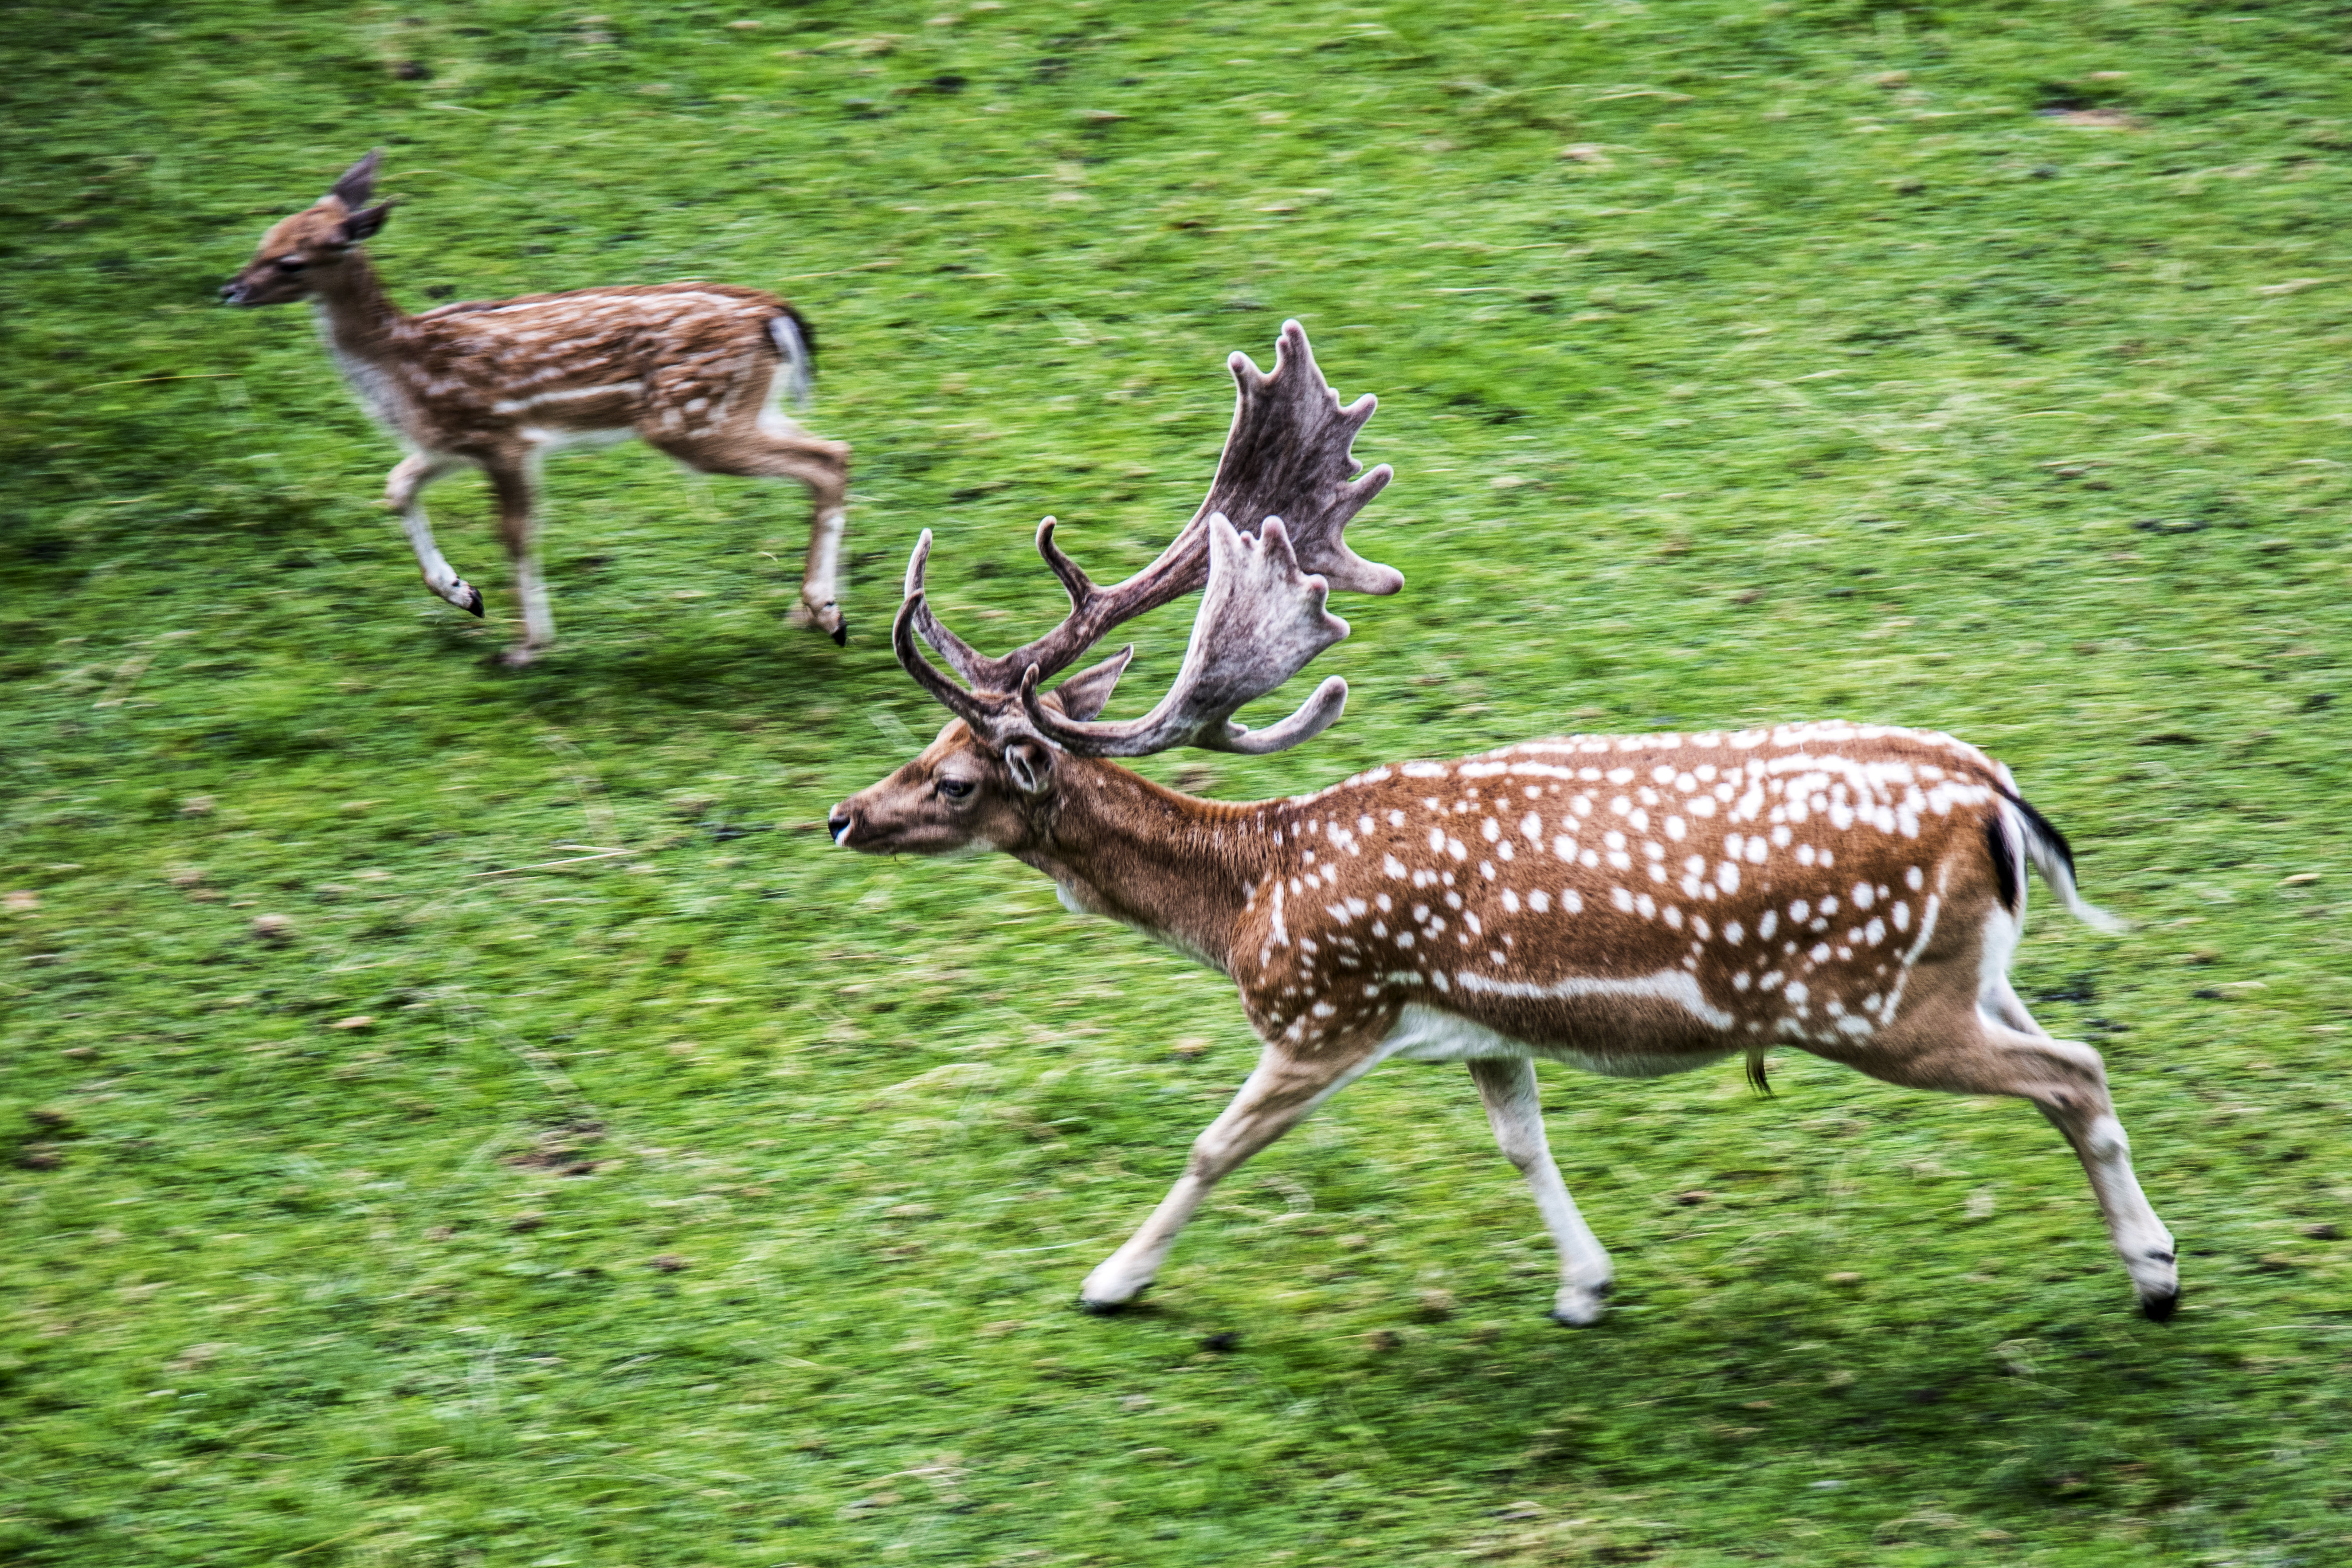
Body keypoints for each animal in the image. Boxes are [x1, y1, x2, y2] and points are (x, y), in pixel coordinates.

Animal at [221, 160, 856, 667]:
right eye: (264, 238)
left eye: (293, 261)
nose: (229, 290)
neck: (403, 366)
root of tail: (774, 314)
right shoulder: (450, 441)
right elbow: (397, 487)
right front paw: (465, 594)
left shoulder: (505, 438)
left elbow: (516, 533)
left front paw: (526, 647)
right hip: (740, 409)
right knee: (835, 450)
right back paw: (811, 612)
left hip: (691, 420)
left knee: (825, 460)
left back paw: (826, 613)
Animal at [832, 319, 2183, 1325]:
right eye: (927, 752)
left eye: (960, 778)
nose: (846, 817)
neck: (1249, 897)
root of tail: (2001, 801)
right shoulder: (1483, 1026)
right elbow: (1521, 1142)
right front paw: (1587, 1284)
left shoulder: (1326, 1011)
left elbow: (1214, 1147)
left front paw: (1110, 1281)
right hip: (1966, 974)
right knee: (2074, 1060)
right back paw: (2155, 1256)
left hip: (1873, 1005)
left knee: (2073, 1072)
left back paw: (2155, 1275)